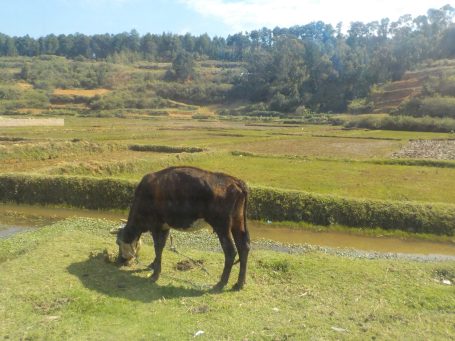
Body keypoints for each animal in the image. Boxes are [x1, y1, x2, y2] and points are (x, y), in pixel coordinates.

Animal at [114, 165, 249, 290]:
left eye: (118, 243)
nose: (118, 261)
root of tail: (235, 181)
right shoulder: (165, 227)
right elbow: (161, 247)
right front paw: (153, 265)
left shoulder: (156, 225)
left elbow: (157, 247)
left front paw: (155, 275)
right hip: (238, 222)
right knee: (244, 247)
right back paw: (239, 283)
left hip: (222, 226)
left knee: (230, 251)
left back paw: (221, 283)